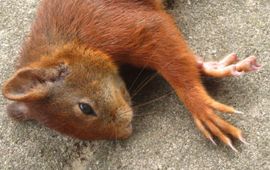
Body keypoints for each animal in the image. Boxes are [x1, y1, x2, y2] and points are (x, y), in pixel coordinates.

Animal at [2, 0, 262, 151]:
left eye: (85, 108)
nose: (126, 133)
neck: (70, 39)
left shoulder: (119, 24)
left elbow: (172, 54)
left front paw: (201, 107)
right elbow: (189, 61)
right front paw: (217, 68)